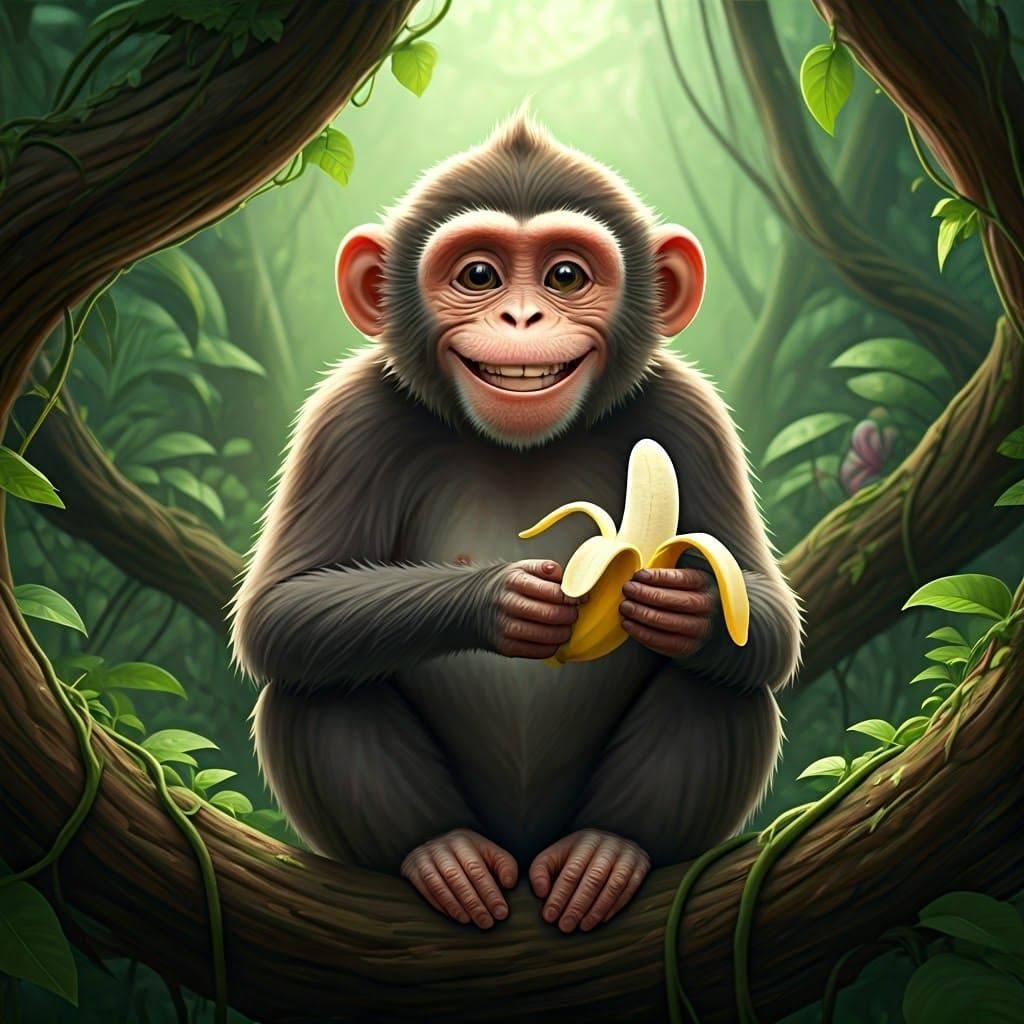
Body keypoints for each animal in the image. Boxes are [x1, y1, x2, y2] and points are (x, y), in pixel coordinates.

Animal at [229, 110, 802, 935]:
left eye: (565, 276)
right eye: (478, 276)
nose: (522, 316)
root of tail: (526, 851)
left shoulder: (692, 419)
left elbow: (764, 616)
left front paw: (682, 603)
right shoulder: (346, 419)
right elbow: (281, 608)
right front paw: (506, 600)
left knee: (722, 685)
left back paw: (608, 849)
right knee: (315, 682)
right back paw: (441, 852)